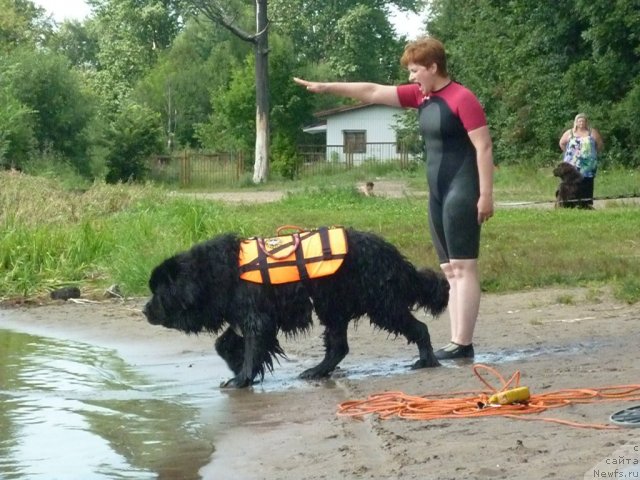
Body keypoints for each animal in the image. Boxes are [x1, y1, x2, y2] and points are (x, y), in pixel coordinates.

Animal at [144, 227, 450, 388]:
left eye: (158, 293)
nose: (144, 310)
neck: (217, 272)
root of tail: (391, 253)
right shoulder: (240, 315)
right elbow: (225, 344)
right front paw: (238, 366)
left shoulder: (257, 317)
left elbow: (253, 346)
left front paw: (242, 378)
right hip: (333, 305)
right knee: (339, 346)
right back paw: (317, 371)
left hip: (380, 303)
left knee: (418, 327)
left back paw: (426, 360)